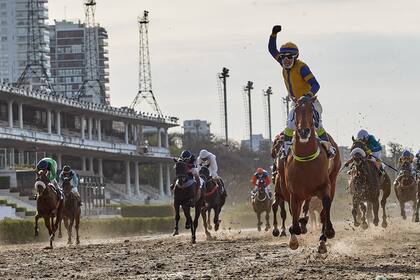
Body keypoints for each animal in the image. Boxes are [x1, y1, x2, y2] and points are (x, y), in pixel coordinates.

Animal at [282, 97, 342, 254]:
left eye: (311, 111)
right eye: (296, 110)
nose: (303, 131)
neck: (306, 160)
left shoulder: (325, 186)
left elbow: (325, 206)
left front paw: (328, 232)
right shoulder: (294, 193)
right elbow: (294, 218)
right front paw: (294, 237)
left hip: (333, 180)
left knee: (322, 211)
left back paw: (322, 241)